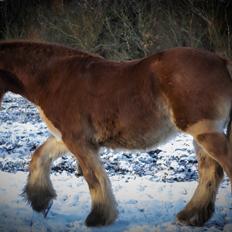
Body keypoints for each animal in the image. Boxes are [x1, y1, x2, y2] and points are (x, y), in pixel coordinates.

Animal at [0, 40, 232, 227]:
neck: (54, 78)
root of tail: (221, 61)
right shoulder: (66, 138)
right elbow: (39, 156)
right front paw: (40, 200)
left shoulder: (78, 141)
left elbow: (93, 177)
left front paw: (98, 218)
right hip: (200, 137)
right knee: (210, 172)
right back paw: (191, 216)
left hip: (205, 133)